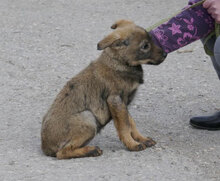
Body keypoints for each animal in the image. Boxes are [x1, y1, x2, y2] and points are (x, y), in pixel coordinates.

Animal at [41, 19, 166, 158]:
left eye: (151, 39)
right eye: (145, 46)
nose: (165, 54)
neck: (119, 63)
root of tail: (45, 147)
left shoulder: (123, 103)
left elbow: (131, 123)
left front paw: (141, 139)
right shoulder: (115, 100)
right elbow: (124, 127)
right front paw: (132, 144)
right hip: (88, 118)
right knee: (62, 153)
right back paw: (91, 150)